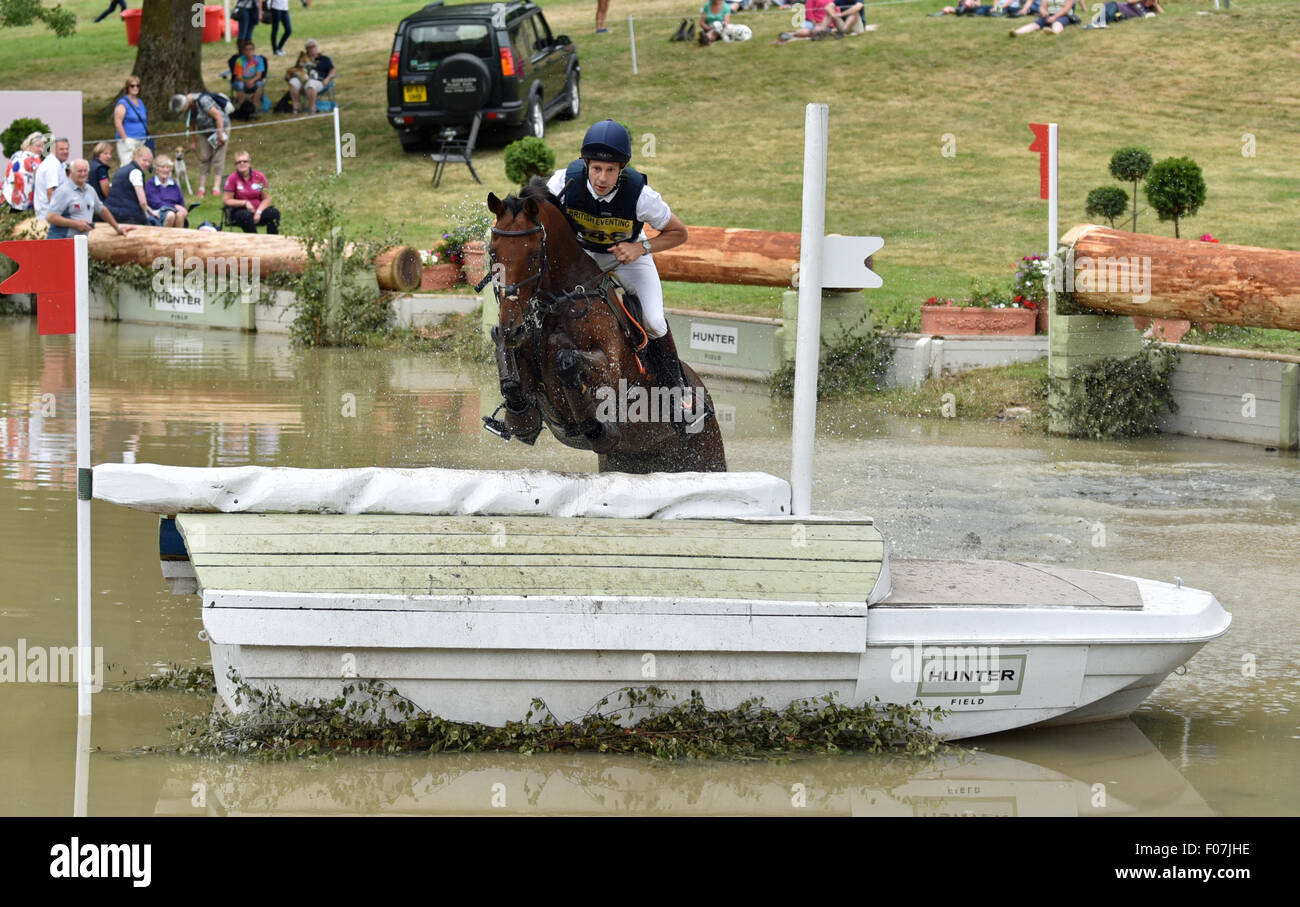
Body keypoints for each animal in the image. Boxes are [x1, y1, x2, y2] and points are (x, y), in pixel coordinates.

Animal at [483, 178, 728, 472]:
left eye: (532, 255)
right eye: (492, 252)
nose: (513, 328)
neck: (560, 302)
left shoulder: (609, 367)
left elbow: (567, 360)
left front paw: (596, 427)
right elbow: (513, 381)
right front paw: (518, 411)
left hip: (708, 455)